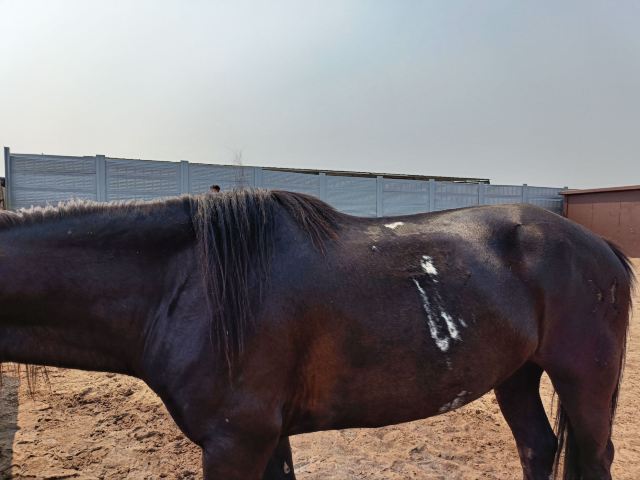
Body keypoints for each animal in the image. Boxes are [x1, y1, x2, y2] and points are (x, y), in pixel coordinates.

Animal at [0, 189, 633, 480]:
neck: (186, 285)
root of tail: (600, 245)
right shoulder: (266, 437)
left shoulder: (235, 442)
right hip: (518, 375)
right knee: (538, 447)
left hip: (584, 382)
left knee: (595, 455)